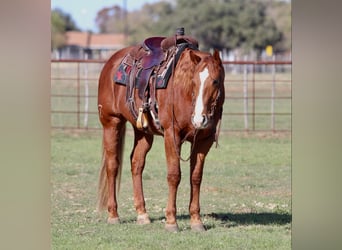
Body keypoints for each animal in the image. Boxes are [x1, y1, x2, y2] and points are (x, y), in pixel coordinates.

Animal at [97, 31, 224, 232]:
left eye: (216, 81)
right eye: (194, 81)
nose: (199, 119)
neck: (183, 91)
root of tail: (111, 62)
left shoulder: (204, 140)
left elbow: (196, 177)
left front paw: (196, 221)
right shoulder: (172, 135)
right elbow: (174, 175)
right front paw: (171, 221)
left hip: (143, 131)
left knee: (136, 163)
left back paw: (142, 214)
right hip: (111, 122)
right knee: (112, 166)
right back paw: (113, 215)